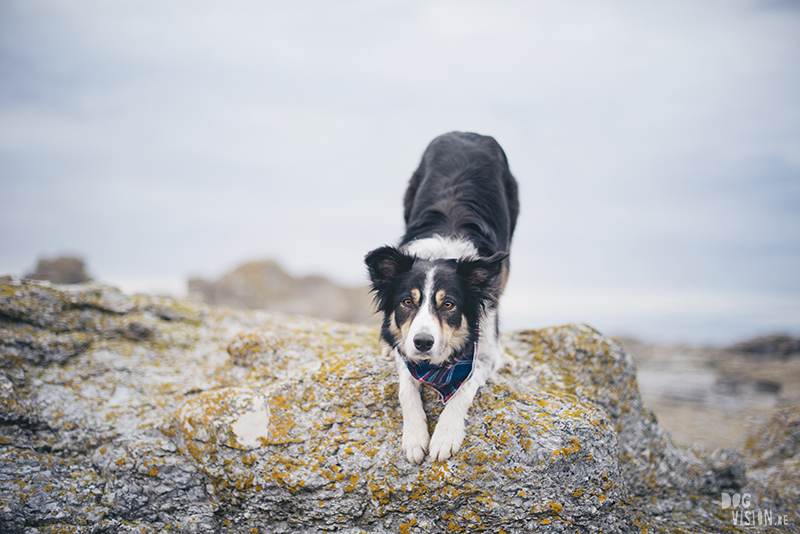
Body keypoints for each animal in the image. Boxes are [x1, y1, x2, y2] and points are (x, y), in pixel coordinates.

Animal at [368, 131, 520, 464]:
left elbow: (463, 387)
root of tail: (466, 132)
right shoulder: (407, 349)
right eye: (407, 302)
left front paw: (445, 435)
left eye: (448, 304)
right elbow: (406, 385)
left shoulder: (483, 349)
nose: (423, 343)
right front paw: (414, 437)